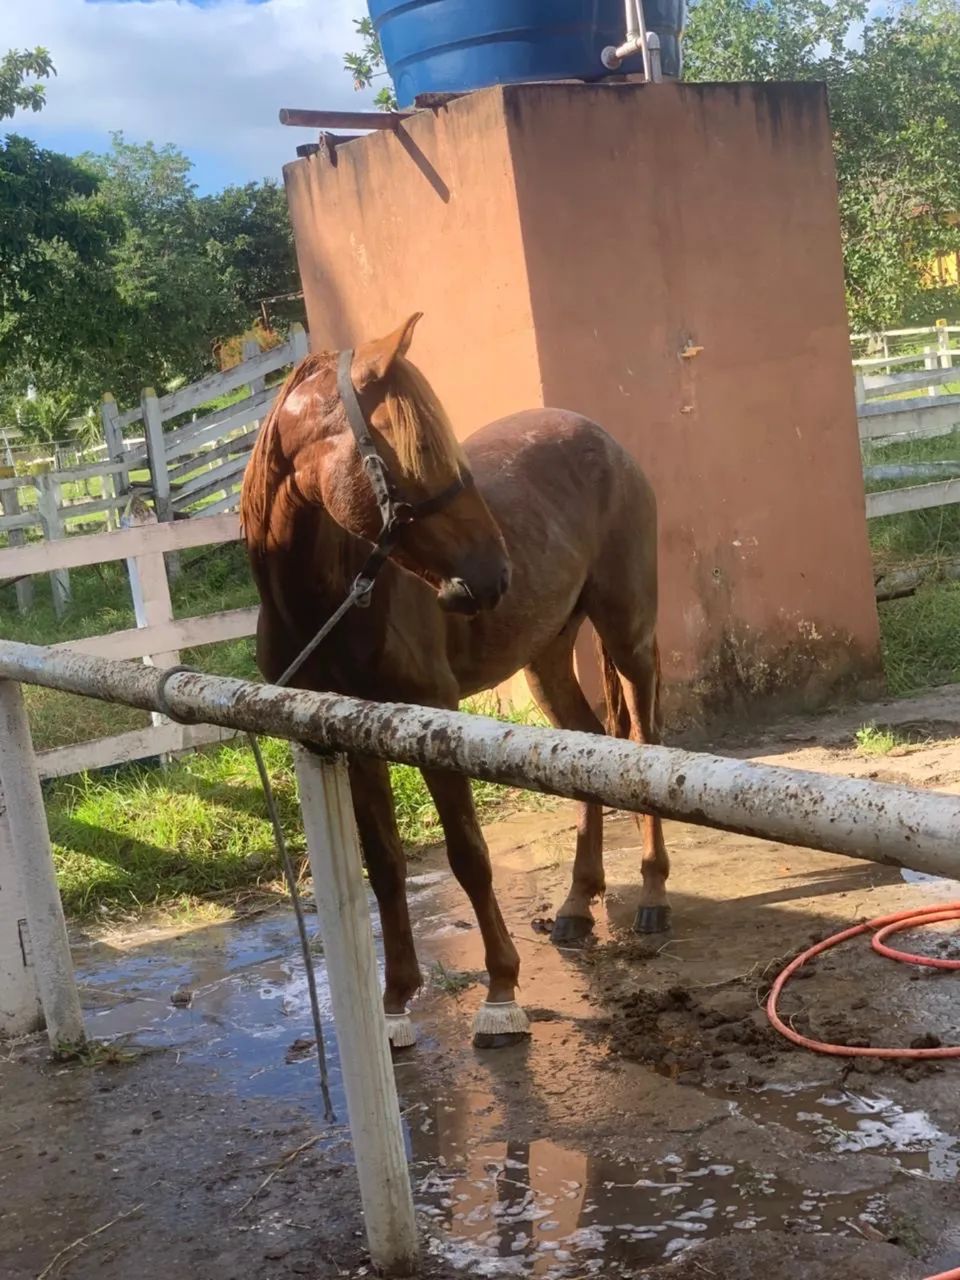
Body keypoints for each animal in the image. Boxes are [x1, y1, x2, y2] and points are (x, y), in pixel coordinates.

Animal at [240, 314, 669, 1048]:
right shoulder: (350, 737)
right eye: (414, 458)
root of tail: (601, 437)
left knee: (640, 748)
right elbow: (384, 867)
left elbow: (468, 855)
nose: (494, 576)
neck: (332, 602)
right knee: (587, 748)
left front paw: (501, 992)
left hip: (628, 636)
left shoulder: (431, 718)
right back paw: (577, 904)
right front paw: (394, 1002)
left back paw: (653, 894)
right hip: (545, 659)